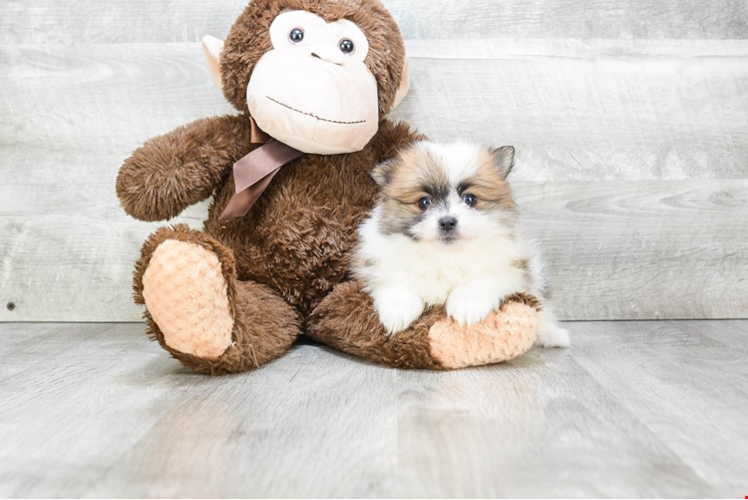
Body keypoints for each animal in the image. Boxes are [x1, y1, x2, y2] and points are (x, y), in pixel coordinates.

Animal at [354, 141, 568, 348]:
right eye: (424, 202)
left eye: (470, 199)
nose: (447, 221)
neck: (446, 255)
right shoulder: (380, 264)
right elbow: (397, 282)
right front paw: (397, 314)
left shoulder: (511, 267)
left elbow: (482, 280)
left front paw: (467, 308)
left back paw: (553, 335)